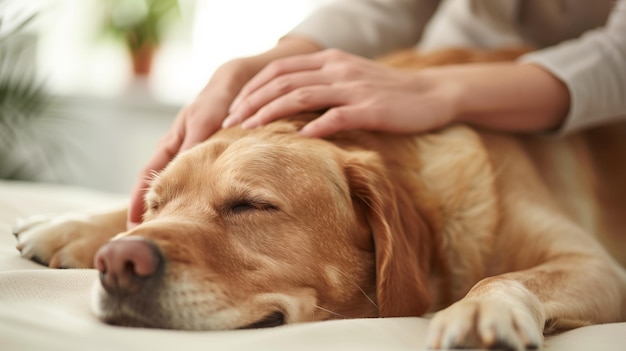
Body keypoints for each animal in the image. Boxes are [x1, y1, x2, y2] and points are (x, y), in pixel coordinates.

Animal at [11, 48, 624, 350]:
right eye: (157, 203)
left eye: (252, 205)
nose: (117, 262)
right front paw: (75, 225)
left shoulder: (599, 267)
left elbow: (504, 277)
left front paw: (479, 309)